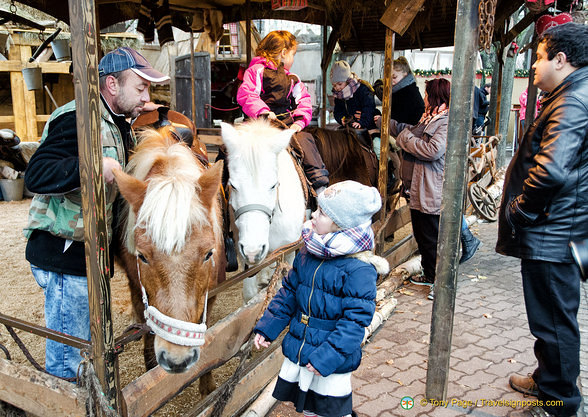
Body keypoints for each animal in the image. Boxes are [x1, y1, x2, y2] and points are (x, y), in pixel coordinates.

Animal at [112, 127, 223, 384]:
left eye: (208, 254)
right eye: (142, 256)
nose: (177, 359)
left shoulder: (210, 294)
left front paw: (207, 384)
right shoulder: (138, 288)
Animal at [222, 118, 308, 300]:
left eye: (273, 185)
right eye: (232, 185)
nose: (253, 251)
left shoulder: (289, 248)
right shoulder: (244, 256)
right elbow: (249, 294)